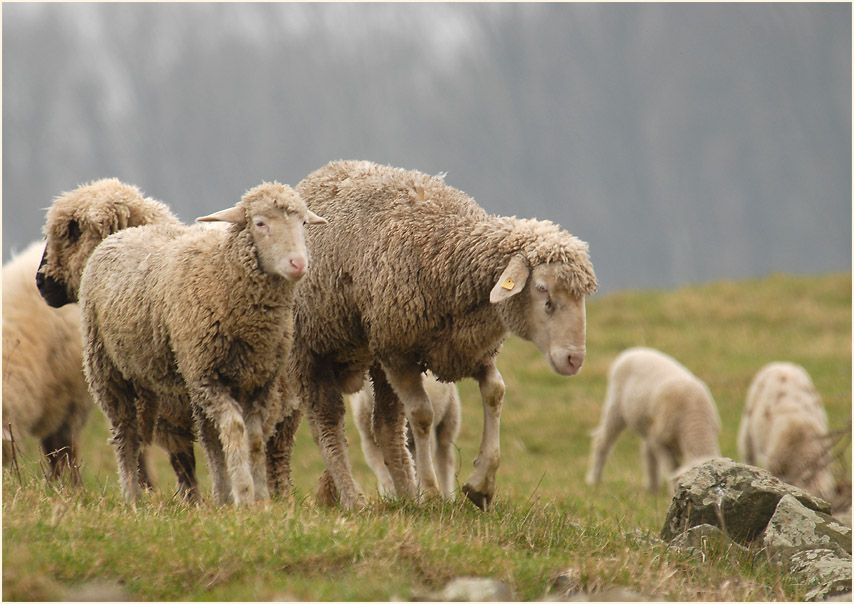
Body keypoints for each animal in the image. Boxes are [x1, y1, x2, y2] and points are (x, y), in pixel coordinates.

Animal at [73, 184, 326, 504]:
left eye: (303, 223)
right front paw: (244, 495)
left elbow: (255, 439)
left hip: (154, 374)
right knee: (125, 434)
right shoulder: (207, 377)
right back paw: (132, 497)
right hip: (107, 369)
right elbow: (234, 430)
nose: (298, 264)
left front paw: (260, 499)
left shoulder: (260, 382)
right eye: (260, 223)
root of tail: (123, 234)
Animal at [352, 370, 464, 498]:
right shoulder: (368, 442)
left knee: (445, 459)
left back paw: (448, 496)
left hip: (449, 418)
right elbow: (384, 473)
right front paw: (391, 496)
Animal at [580, 346, 724, 494]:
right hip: (616, 406)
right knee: (602, 442)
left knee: (647, 451)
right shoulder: (660, 441)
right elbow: (671, 468)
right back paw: (594, 479)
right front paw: (673, 491)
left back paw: (652, 488)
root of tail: (636, 349)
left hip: (647, 422)